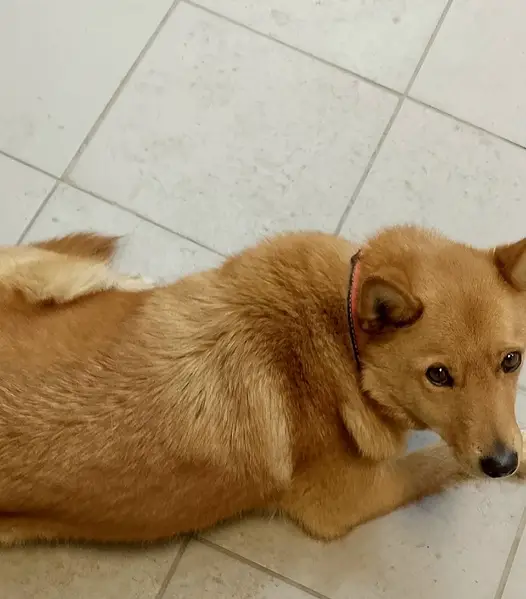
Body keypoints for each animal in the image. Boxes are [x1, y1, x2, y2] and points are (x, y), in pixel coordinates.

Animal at [0, 226, 525, 545]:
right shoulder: (349, 502)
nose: (501, 463)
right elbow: (437, 463)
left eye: (511, 360)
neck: (342, 336)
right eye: (438, 375)